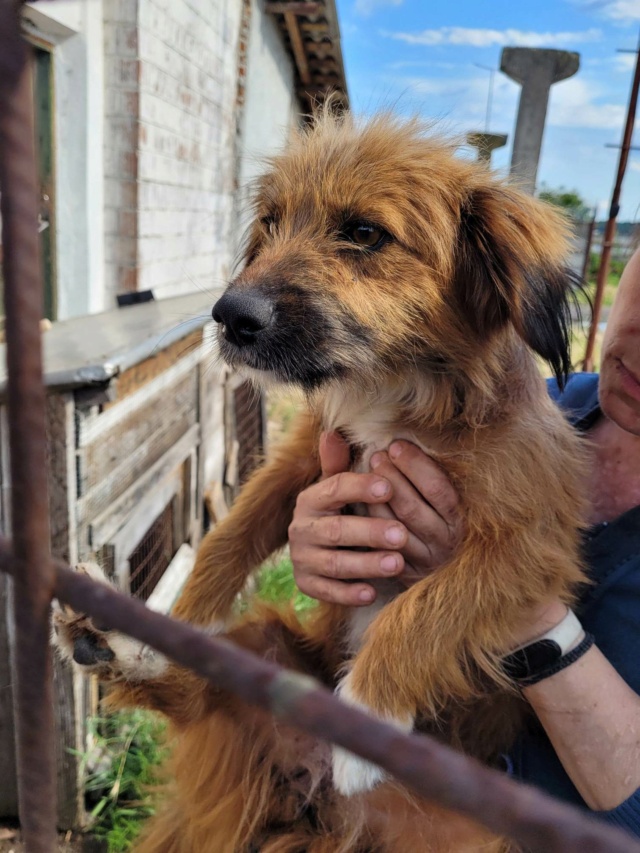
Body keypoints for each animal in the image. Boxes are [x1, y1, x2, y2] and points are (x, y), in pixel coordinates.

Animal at [57, 113, 588, 852]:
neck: (400, 391)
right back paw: (124, 641)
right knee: (195, 693)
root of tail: (319, 808)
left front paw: (366, 720)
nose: (229, 317)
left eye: (364, 232)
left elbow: (422, 608)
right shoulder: (302, 462)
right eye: (272, 223)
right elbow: (227, 537)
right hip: (266, 653)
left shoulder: (530, 545)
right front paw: (184, 620)